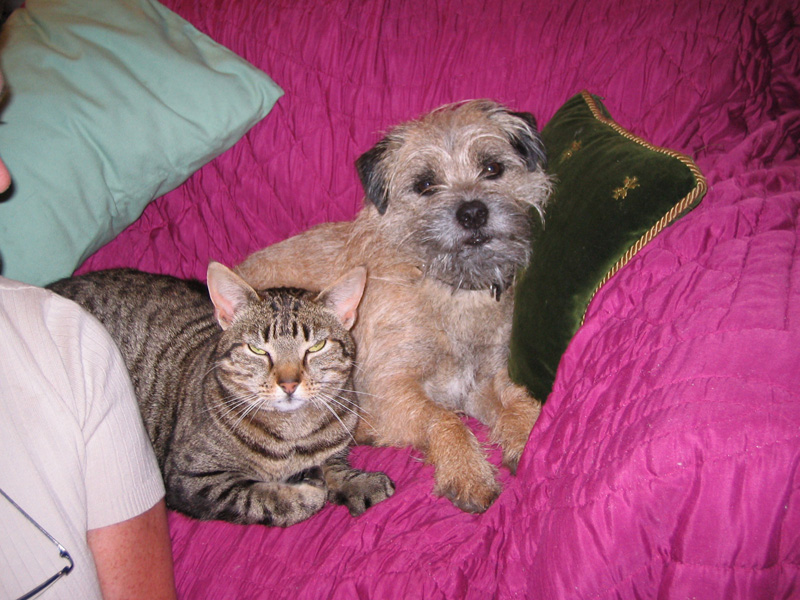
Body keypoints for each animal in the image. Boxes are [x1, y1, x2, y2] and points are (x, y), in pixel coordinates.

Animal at [48, 263, 394, 526]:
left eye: (316, 347)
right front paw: (307, 491)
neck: (292, 433)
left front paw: (359, 483)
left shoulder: (334, 448)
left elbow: (334, 467)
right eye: (257, 350)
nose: (289, 384)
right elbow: (263, 498)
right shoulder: (192, 478)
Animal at [236, 100, 551, 512]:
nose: (472, 213)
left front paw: (528, 432)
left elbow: (513, 396)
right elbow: (443, 419)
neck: (450, 287)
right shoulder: (391, 388)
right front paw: (467, 472)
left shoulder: (476, 381)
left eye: (493, 168)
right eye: (425, 185)